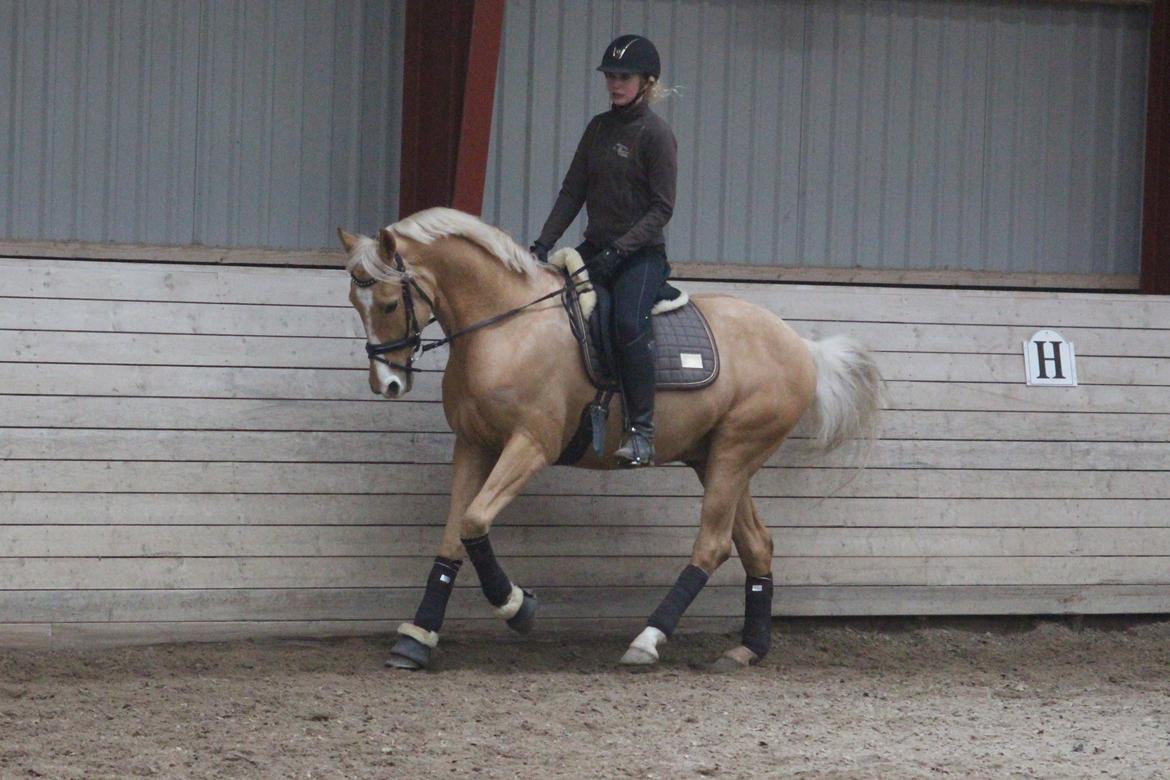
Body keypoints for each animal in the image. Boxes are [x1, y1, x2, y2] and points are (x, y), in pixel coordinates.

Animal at [336, 206, 879, 673]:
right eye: (353, 303)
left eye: (388, 303)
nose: (388, 384)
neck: (506, 325)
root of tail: (800, 346)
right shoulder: (472, 445)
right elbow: (454, 536)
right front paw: (417, 638)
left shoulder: (531, 445)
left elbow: (473, 521)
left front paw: (518, 607)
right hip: (718, 459)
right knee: (757, 545)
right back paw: (747, 649)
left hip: (735, 452)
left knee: (712, 545)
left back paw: (648, 640)